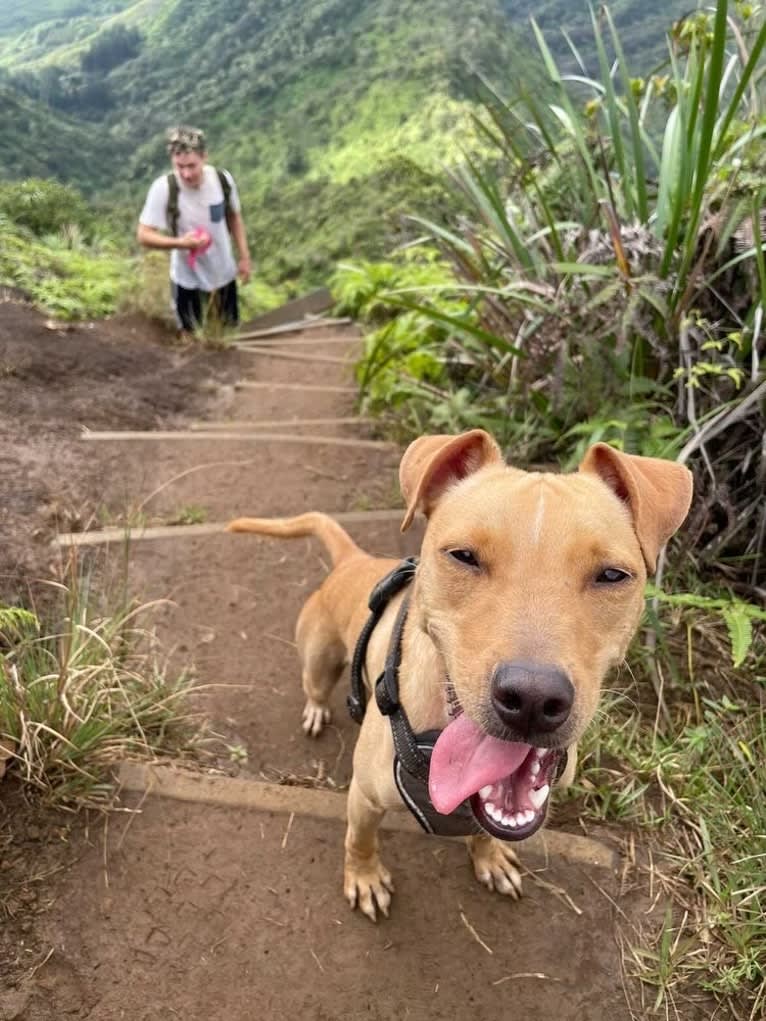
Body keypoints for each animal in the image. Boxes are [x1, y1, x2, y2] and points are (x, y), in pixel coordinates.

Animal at [227, 426, 694, 922]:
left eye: (612, 575)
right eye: (463, 556)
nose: (532, 699)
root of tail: (354, 560)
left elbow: (486, 830)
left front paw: (488, 858)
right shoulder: (365, 798)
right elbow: (361, 839)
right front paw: (365, 877)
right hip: (317, 657)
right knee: (315, 686)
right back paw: (316, 709)